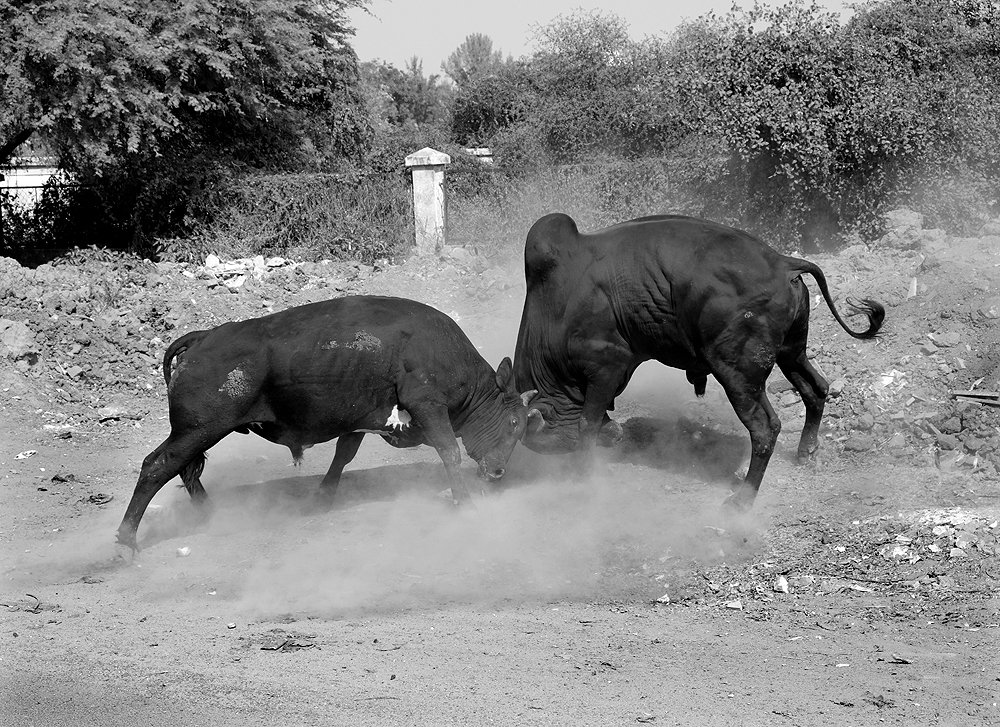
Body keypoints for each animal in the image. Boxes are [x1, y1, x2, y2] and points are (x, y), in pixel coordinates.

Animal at [116, 295, 537, 551]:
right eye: (514, 421)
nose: (498, 472)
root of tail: (204, 337)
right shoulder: (428, 407)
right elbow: (449, 451)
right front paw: (465, 503)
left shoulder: (359, 421)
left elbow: (343, 454)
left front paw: (323, 496)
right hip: (198, 430)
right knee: (157, 466)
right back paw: (125, 541)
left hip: (197, 433)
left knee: (185, 470)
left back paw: (209, 514)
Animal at [514, 213, 885, 509]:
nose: (616, 435)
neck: (555, 306)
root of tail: (782, 263)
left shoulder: (606, 367)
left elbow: (586, 425)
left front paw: (585, 477)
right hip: (790, 353)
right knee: (816, 389)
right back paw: (807, 450)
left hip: (739, 374)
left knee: (766, 428)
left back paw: (743, 499)